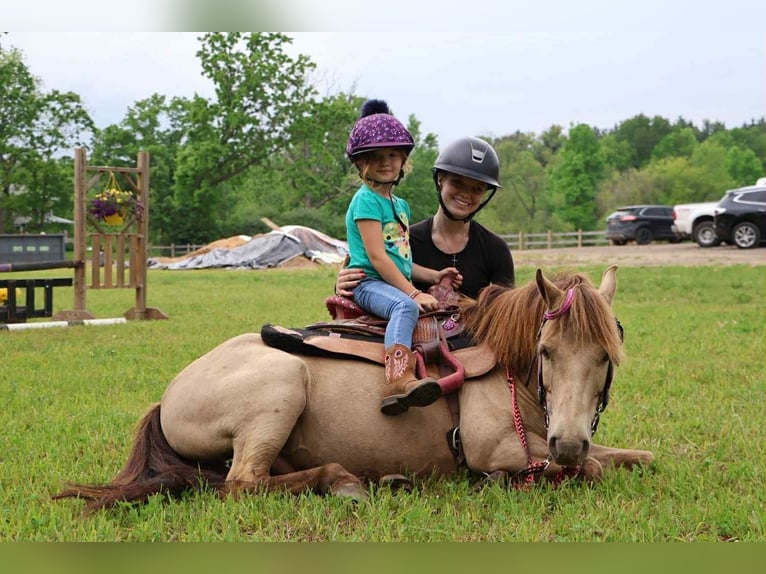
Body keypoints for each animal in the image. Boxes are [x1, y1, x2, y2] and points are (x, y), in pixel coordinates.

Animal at [55, 265, 654, 511]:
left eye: (606, 357)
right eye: (546, 351)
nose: (567, 442)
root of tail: (169, 395)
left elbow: (634, 458)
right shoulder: (496, 450)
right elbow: (591, 469)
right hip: (282, 384)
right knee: (243, 483)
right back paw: (345, 482)